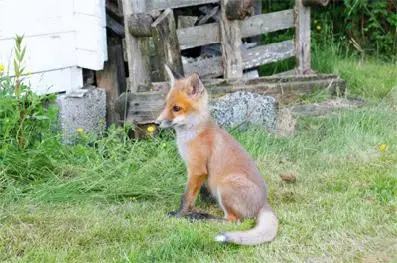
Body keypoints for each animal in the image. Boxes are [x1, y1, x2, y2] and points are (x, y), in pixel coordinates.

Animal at [154, 65, 276, 245]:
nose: (156, 123)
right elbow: (196, 194)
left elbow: (186, 198)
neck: (191, 134)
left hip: (225, 185)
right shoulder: (199, 174)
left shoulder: (197, 170)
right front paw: (199, 203)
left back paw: (201, 217)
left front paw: (180, 215)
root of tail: (263, 203)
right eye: (165, 105)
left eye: (176, 108)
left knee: (235, 220)